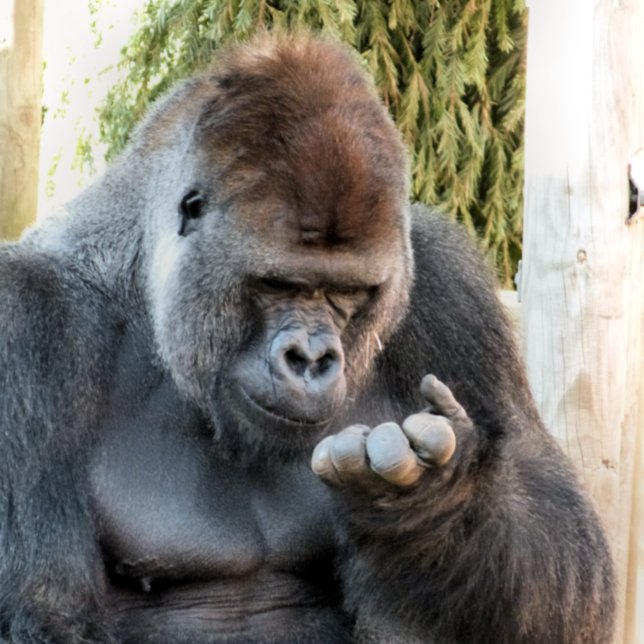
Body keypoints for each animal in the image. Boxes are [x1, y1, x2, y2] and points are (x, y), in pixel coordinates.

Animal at [0, 32, 614, 644]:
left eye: (348, 292)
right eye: (278, 284)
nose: (311, 358)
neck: (146, 288)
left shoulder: (450, 289)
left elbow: (564, 566)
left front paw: (430, 503)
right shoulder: (24, 321)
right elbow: (41, 610)